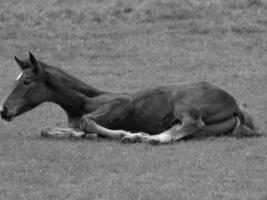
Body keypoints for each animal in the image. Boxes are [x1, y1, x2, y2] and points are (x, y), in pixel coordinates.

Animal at [0, 52, 260, 144]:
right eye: (17, 79)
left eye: (26, 81)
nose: (4, 110)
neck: (84, 101)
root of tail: (234, 103)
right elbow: (47, 129)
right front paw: (79, 135)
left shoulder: (121, 104)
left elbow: (87, 121)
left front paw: (123, 134)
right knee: (186, 128)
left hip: (184, 104)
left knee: (192, 122)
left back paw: (150, 138)